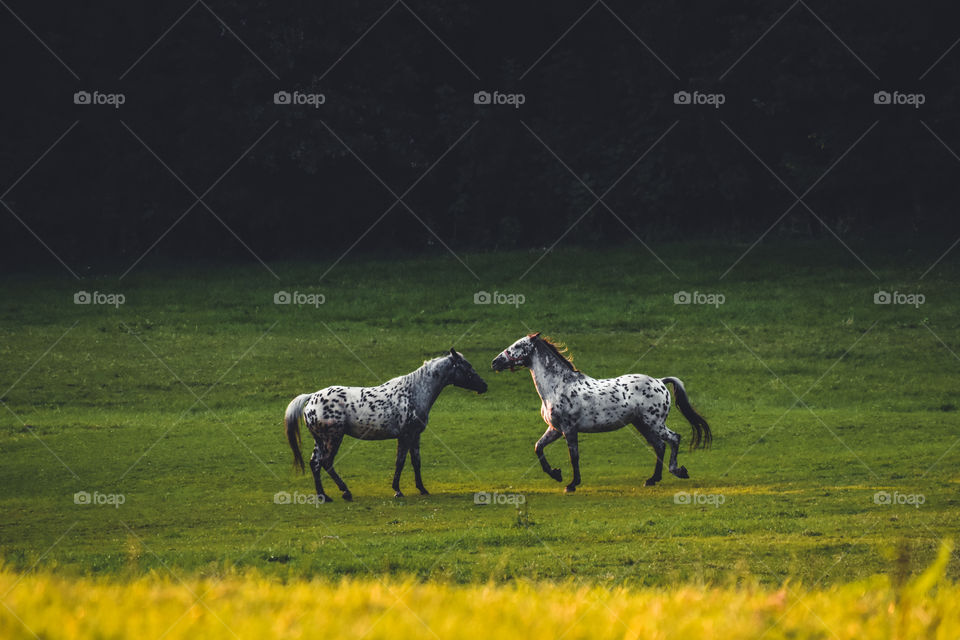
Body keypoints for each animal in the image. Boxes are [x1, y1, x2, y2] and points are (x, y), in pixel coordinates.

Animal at [282, 348, 484, 502]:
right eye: (467, 366)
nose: (484, 386)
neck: (414, 391)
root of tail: (311, 398)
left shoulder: (415, 435)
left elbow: (416, 462)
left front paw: (422, 489)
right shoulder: (405, 435)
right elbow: (400, 462)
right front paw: (397, 490)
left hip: (320, 440)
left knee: (315, 463)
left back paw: (323, 496)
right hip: (333, 438)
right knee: (326, 462)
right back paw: (345, 492)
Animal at [492, 332, 708, 492]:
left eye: (517, 346)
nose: (495, 362)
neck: (558, 386)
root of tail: (660, 382)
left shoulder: (569, 429)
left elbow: (574, 456)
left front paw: (572, 484)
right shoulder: (555, 429)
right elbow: (538, 447)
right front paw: (556, 474)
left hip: (654, 423)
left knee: (674, 439)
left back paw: (678, 471)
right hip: (642, 424)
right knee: (659, 446)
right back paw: (652, 479)